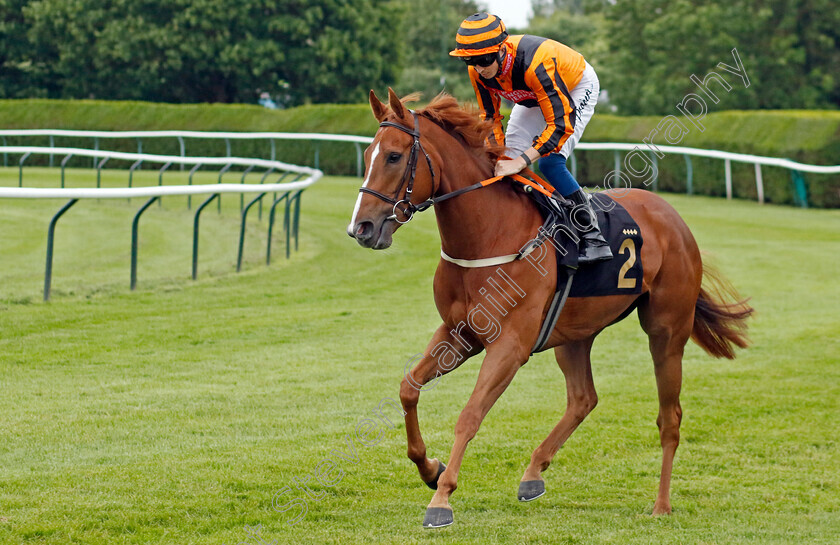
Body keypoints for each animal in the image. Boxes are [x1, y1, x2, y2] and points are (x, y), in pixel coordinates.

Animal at [348, 89, 756, 528]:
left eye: (393, 156)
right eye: (368, 153)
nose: (361, 229)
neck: (490, 233)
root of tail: (675, 219)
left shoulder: (510, 346)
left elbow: (470, 415)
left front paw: (441, 499)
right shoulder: (459, 334)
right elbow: (408, 388)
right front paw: (430, 468)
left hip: (666, 331)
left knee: (670, 417)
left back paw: (661, 504)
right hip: (574, 334)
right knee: (583, 398)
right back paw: (532, 474)